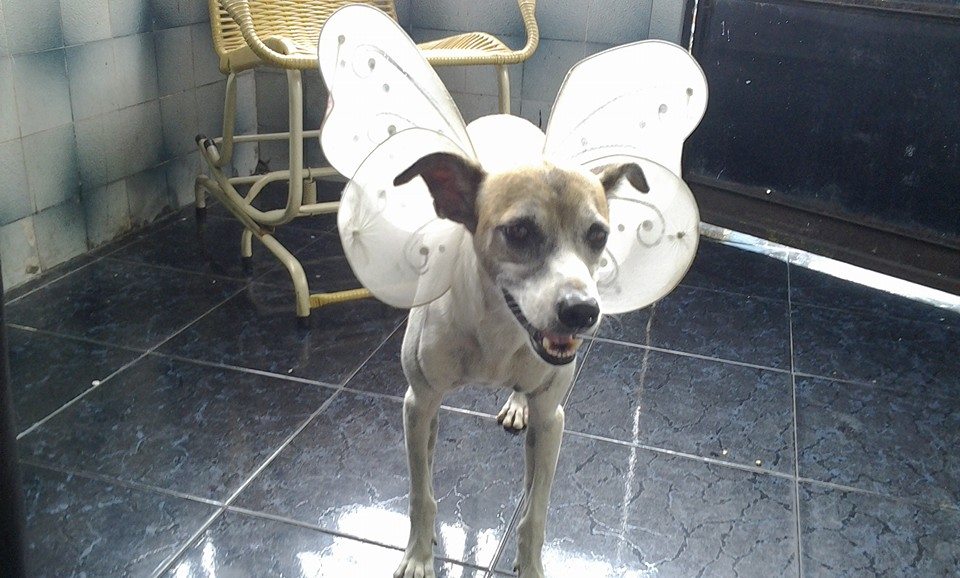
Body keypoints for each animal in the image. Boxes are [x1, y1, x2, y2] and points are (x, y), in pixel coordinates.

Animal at [390, 152, 649, 578]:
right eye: (519, 231)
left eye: (598, 234)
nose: (582, 311)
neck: (499, 328)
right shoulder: (419, 405)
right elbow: (420, 492)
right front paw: (418, 556)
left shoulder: (550, 421)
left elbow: (535, 513)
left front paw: (530, 566)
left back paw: (516, 404)